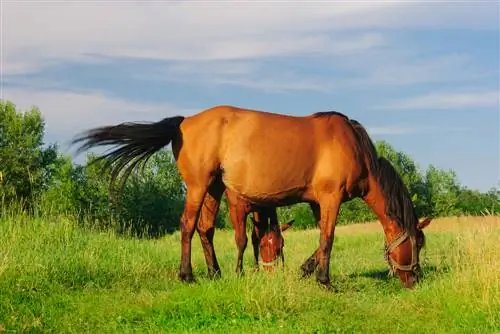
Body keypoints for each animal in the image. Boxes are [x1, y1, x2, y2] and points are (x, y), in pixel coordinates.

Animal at [72, 105, 432, 290]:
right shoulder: (330, 199)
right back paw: (188, 275)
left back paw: (215, 272)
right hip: (199, 186)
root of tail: (184, 122)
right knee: (187, 224)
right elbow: (328, 239)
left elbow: (319, 240)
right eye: (417, 244)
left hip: (215, 189)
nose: (415, 279)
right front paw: (324, 281)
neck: (353, 146)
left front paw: (305, 270)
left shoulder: (318, 203)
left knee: (205, 228)